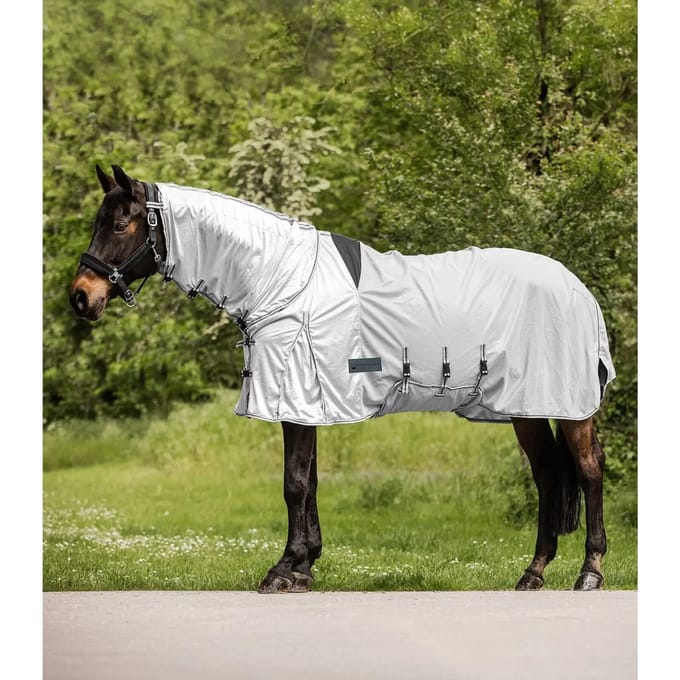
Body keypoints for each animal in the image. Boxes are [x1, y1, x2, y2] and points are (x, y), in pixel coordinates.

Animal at [69, 164, 614, 593]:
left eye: (119, 223)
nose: (80, 296)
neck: (280, 280)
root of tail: (579, 289)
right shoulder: (307, 403)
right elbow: (309, 483)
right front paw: (304, 566)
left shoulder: (294, 397)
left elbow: (293, 484)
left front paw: (284, 570)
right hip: (527, 408)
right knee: (548, 475)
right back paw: (534, 572)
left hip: (569, 407)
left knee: (588, 470)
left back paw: (589, 572)